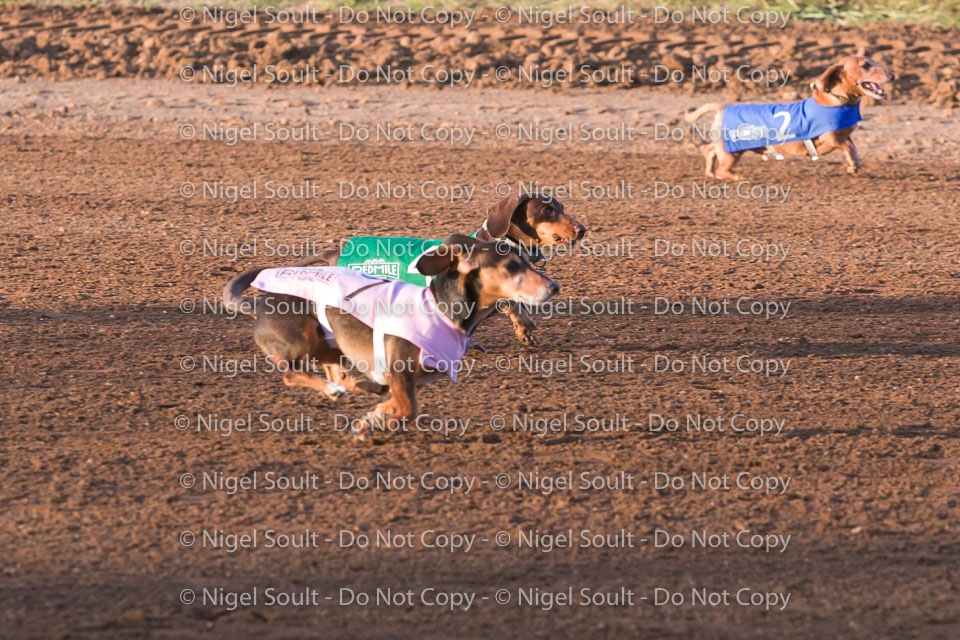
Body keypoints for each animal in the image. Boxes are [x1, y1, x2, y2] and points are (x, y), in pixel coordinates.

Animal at [221, 234, 560, 440]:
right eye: (511, 266)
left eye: (526, 262)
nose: (554, 287)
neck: (440, 309)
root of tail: (260, 304)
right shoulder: (399, 371)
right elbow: (408, 410)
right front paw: (371, 423)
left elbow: (399, 407)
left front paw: (371, 419)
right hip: (301, 341)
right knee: (292, 374)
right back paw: (332, 390)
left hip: (332, 345)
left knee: (336, 372)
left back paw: (360, 386)